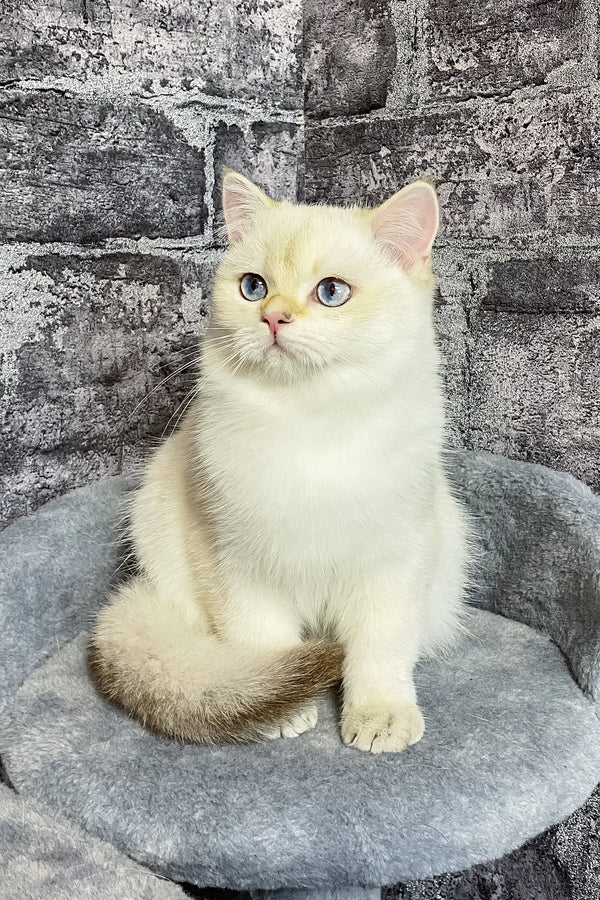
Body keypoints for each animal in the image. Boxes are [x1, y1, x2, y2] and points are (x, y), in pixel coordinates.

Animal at [90, 167, 474, 752]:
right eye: (253, 287)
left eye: (331, 292)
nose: (272, 317)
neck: (307, 419)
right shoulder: (235, 563)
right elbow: (262, 644)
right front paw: (282, 711)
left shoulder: (397, 561)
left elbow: (379, 650)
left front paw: (379, 715)